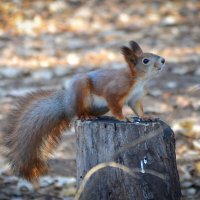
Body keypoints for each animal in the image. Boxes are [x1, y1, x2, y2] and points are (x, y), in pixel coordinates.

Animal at [3, 40, 165, 181]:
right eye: (145, 60)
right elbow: (115, 106)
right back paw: (86, 116)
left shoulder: (135, 98)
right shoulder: (114, 91)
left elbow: (138, 109)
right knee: (79, 113)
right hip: (82, 92)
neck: (138, 79)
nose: (163, 60)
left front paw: (146, 117)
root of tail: (67, 104)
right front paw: (123, 118)